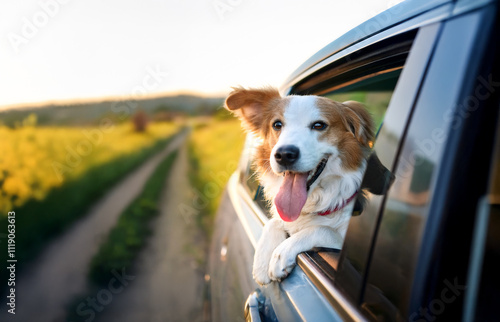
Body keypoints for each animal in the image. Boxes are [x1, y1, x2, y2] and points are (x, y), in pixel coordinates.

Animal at [225, 87, 374, 286]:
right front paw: (263, 260)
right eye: (277, 125)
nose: (284, 154)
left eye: (319, 125)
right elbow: (275, 221)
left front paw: (280, 254)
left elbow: (322, 229)